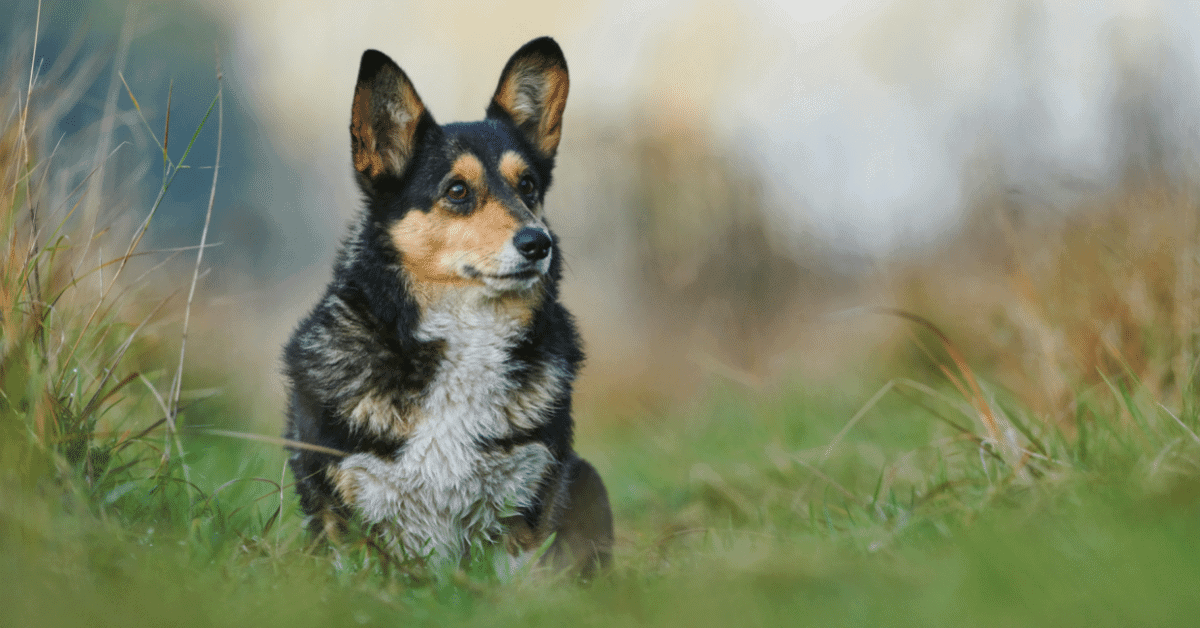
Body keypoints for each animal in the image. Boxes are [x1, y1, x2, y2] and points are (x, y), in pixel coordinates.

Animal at [282, 35, 614, 573]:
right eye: (457, 190)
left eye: (528, 186)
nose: (538, 243)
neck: (467, 332)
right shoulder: (349, 510)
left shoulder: (523, 507)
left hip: (589, 482)